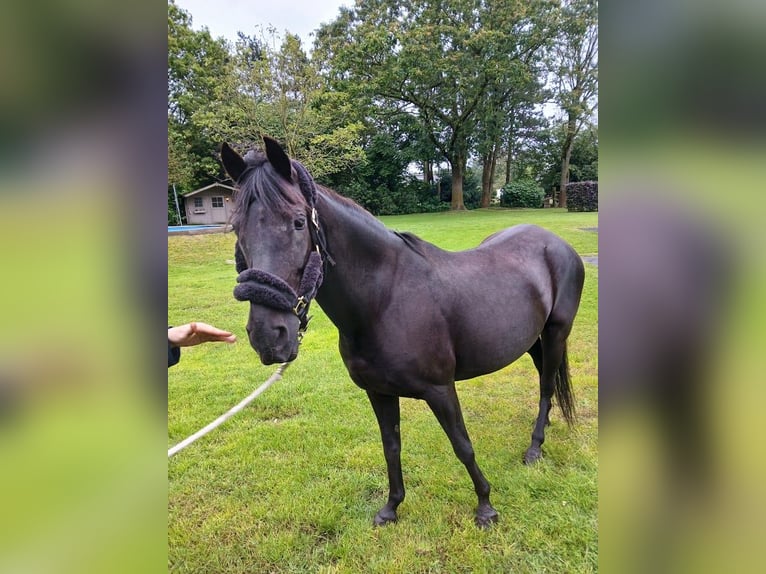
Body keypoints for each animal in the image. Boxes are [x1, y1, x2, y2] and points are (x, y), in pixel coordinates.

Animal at [225, 137, 584, 528]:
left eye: (298, 222)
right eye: (237, 229)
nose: (268, 336)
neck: (385, 300)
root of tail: (555, 243)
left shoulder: (440, 389)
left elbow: (462, 445)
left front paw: (485, 507)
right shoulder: (379, 392)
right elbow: (391, 447)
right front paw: (391, 508)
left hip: (556, 334)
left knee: (547, 386)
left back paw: (534, 448)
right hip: (531, 341)